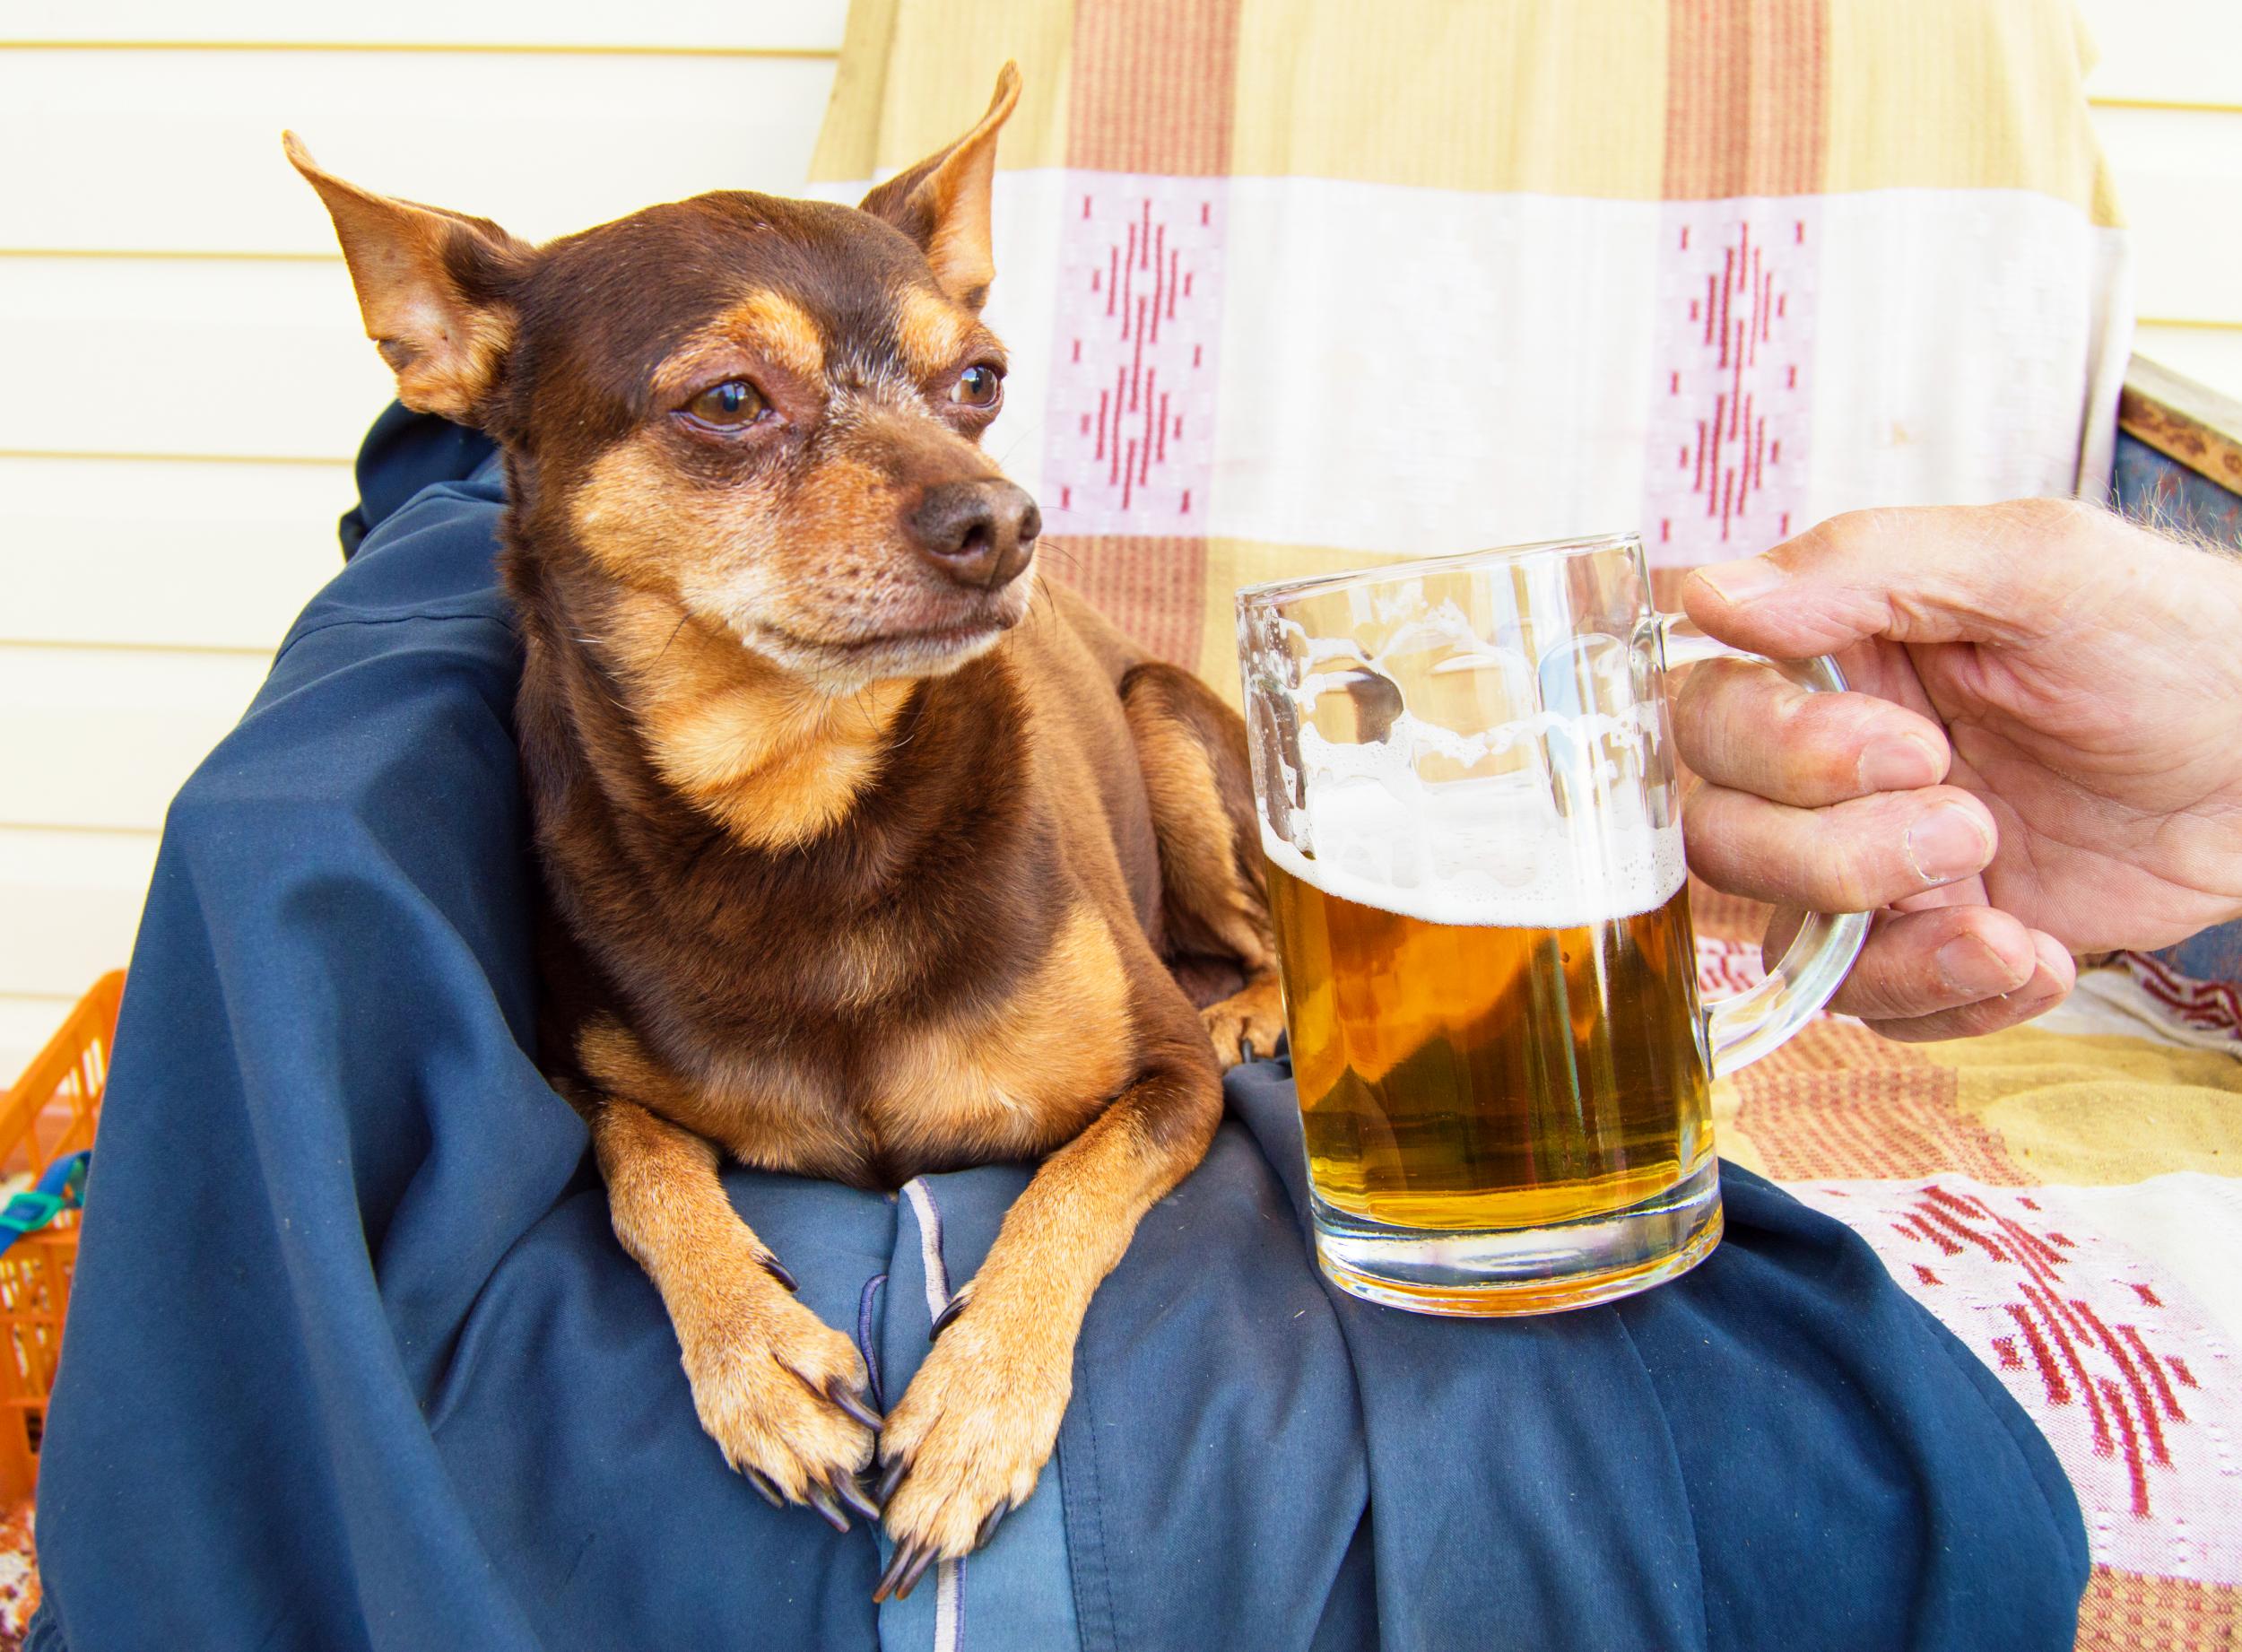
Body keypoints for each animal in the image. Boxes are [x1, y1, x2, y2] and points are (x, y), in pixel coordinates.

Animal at [289, 67, 1291, 1595]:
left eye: (981, 380)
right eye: (727, 400)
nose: (1005, 520)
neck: (806, 814)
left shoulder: (1164, 1083)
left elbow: (1066, 1189)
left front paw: (978, 1408)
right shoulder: (585, 1089)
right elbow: (643, 1173)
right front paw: (755, 1358)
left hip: (1171, 728)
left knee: (1273, 931)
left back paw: (1257, 1006)